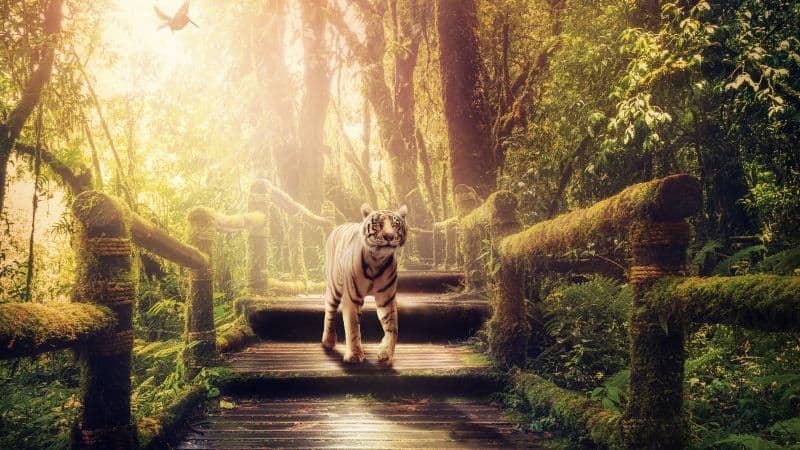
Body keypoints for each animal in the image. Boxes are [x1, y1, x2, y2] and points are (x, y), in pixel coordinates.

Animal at [321, 203, 408, 364]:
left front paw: (386, 353)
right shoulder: (352, 298)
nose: (389, 236)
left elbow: (393, 327)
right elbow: (353, 327)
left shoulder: (386, 299)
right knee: (329, 311)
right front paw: (354, 355)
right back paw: (328, 341)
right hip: (334, 288)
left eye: (395, 225)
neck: (377, 261)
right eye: (378, 225)